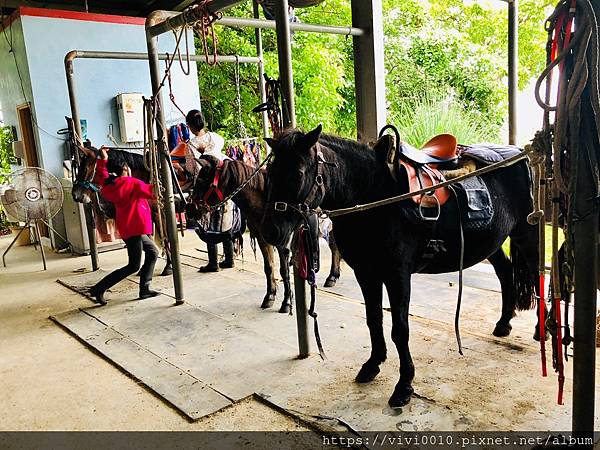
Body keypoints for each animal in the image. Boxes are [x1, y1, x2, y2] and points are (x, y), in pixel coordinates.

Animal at [260, 125, 536, 408]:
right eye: (269, 173)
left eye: (298, 173)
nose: (270, 231)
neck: (374, 195)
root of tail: (520, 154)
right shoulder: (366, 273)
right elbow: (374, 319)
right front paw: (373, 364)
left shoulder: (397, 275)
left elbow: (400, 329)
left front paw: (404, 385)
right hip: (492, 243)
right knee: (505, 273)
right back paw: (503, 324)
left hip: (526, 233)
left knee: (536, 273)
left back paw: (540, 332)